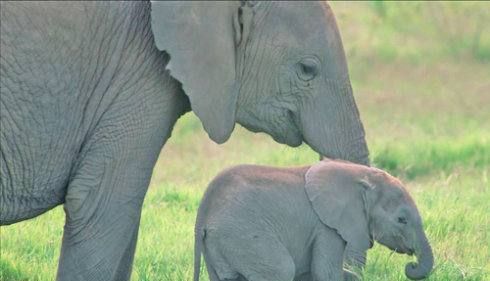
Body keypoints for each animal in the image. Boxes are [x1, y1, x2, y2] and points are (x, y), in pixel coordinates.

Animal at [193, 159, 434, 278]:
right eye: (401, 220)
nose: (411, 266)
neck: (360, 176)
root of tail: (203, 213)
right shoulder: (326, 228)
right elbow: (325, 272)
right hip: (242, 236)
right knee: (281, 269)